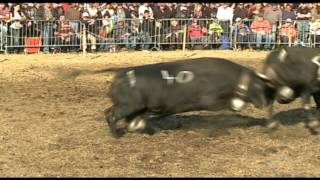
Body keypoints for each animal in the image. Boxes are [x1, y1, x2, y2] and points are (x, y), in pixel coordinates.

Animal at [99, 57, 276, 138]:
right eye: (259, 86)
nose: (264, 103)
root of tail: (121, 74)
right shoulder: (210, 100)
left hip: (130, 106)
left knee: (111, 112)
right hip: (128, 106)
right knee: (111, 115)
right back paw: (116, 135)